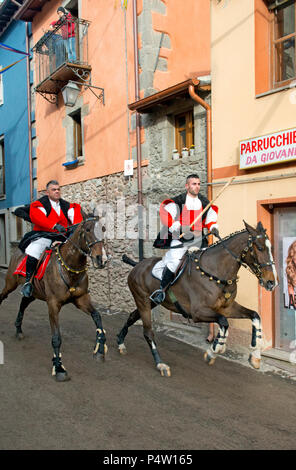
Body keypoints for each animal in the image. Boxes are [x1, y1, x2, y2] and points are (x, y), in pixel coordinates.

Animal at [0, 215, 108, 380]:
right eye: (88, 230)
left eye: (104, 229)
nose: (101, 259)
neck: (69, 268)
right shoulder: (53, 304)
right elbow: (56, 337)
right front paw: (59, 368)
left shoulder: (81, 299)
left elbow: (97, 318)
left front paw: (100, 349)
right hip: (10, 284)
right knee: (2, 296)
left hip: (34, 293)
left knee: (23, 303)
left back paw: (18, 329)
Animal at [117, 221, 278, 378]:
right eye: (260, 247)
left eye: (271, 248)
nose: (272, 282)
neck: (215, 272)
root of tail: (137, 265)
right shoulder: (198, 312)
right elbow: (224, 322)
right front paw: (214, 350)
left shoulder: (227, 308)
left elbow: (254, 316)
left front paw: (255, 355)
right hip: (143, 301)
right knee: (148, 332)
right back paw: (160, 364)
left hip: (150, 302)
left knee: (132, 316)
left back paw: (120, 342)